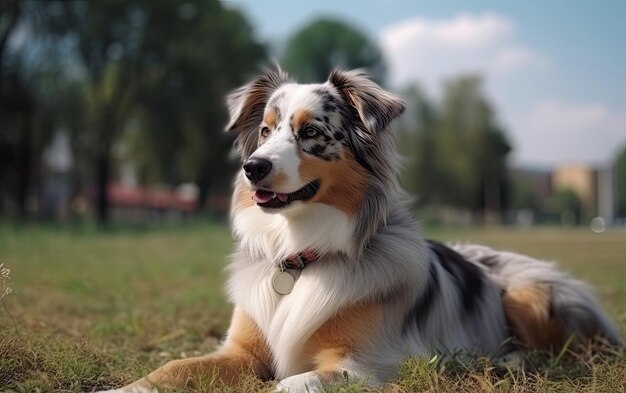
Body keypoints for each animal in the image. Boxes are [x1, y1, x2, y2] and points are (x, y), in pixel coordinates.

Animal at [103, 69, 620, 390]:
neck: (300, 255)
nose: (252, 168)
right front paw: (124, 388)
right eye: (266, 132)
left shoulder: (363, 365)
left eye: (311, 132)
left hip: (530, 294)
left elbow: (287, 385)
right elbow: (171, 368)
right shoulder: (241, 351)